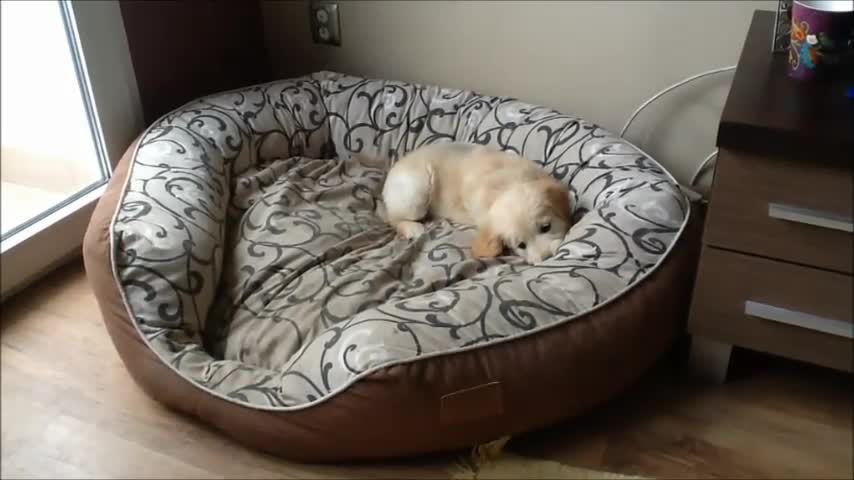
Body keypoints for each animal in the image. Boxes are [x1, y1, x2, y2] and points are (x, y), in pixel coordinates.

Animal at [364, 142, 572, 262]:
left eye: (546, 227)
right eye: (521, 245)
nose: (546, 258)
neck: (508, 185)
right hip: (417, 190)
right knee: (393, 218)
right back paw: (412, 228)